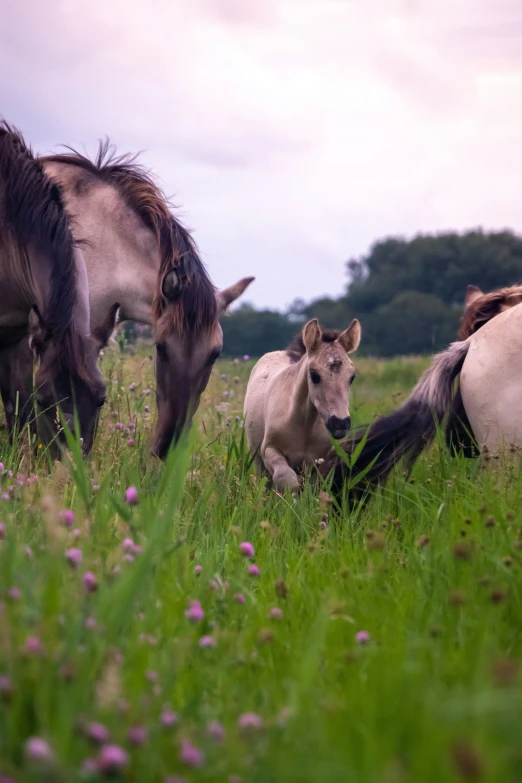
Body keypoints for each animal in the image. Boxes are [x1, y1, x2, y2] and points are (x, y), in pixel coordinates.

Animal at [243, 318, 358, 490]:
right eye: (315, 376)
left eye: (352, 377)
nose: (340, 423)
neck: (303, 425)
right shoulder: (269, 450)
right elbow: (286, 479)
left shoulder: (317, 462)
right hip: (257, 459)